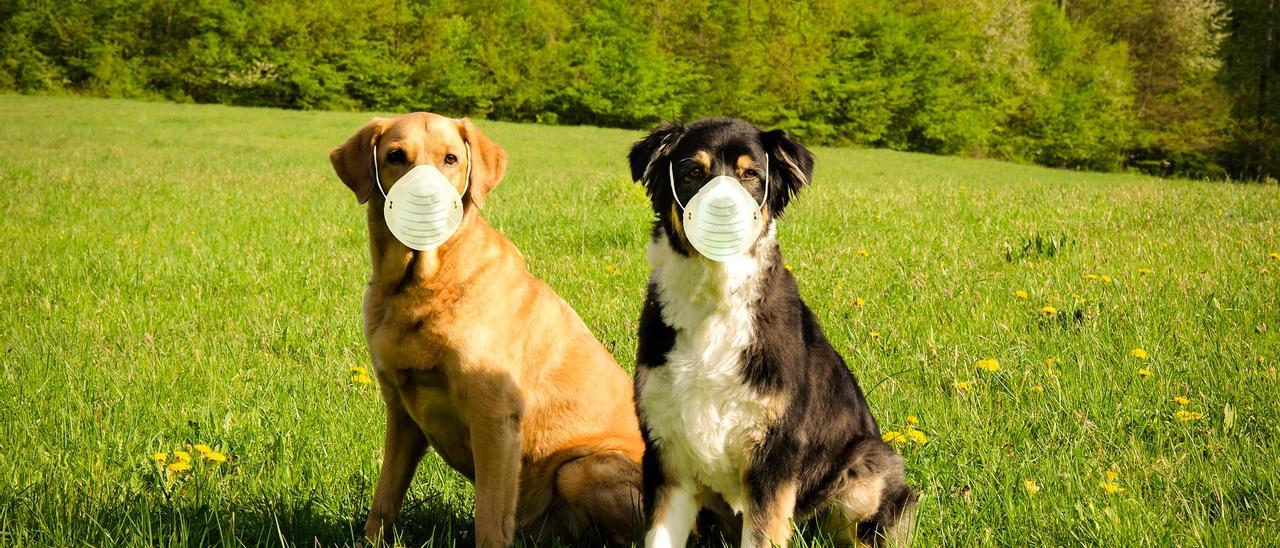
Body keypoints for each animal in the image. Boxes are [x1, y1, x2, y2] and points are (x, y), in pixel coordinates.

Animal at [330, 113, 645, 545]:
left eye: (450, 158)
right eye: (395, 156)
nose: (425, 204)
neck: (423, 284)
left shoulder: (495, 416)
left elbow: (490, 519)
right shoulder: (401, 411)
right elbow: (383, 501)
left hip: (581, 468)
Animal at [627, 117, 911, 545]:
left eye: (750, 175)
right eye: (693, 172)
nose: (723, 212)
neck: (715, 305)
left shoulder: (773, 460)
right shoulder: (667, 457)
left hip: (866, 469)